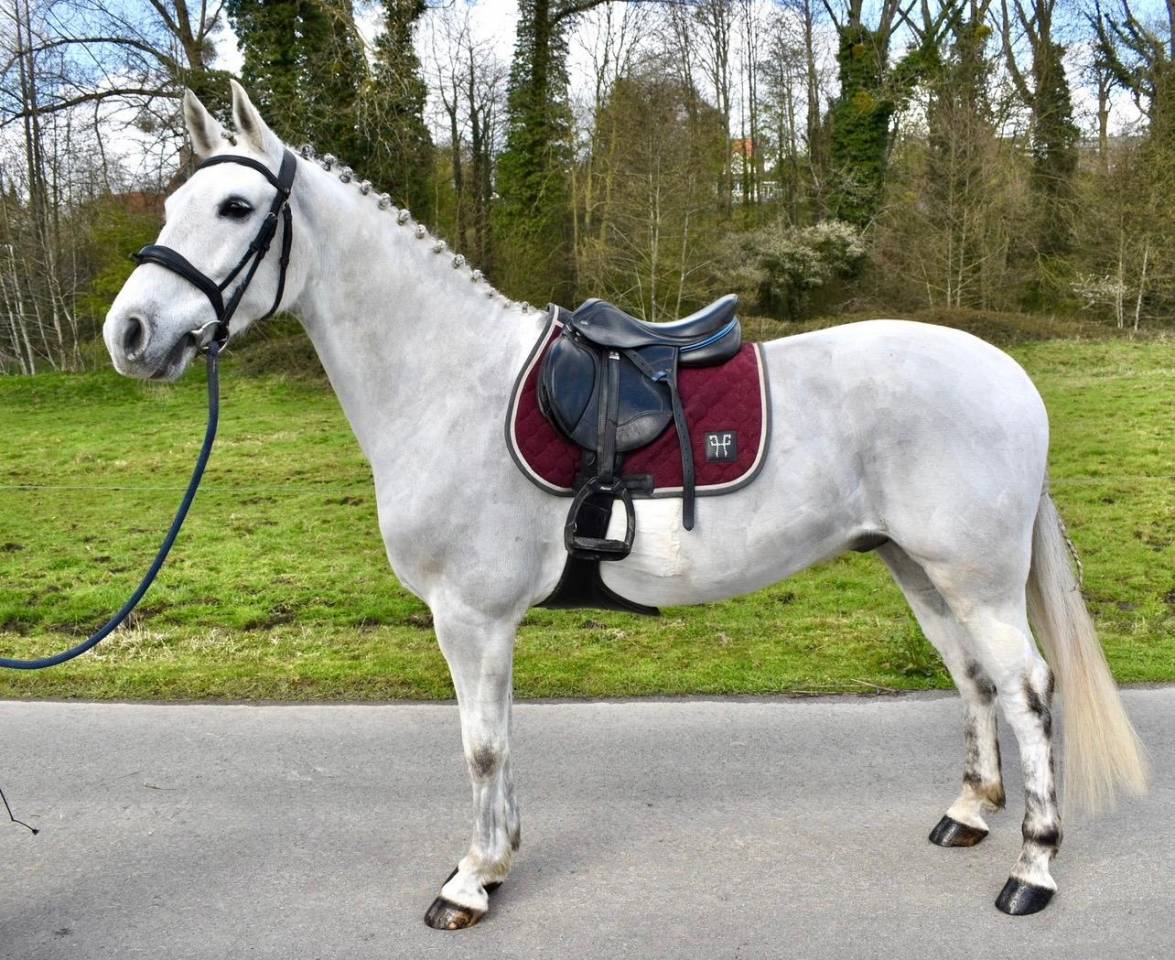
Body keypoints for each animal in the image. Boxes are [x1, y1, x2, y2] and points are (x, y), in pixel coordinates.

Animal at [103, 81, 1148, 928]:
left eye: (236, 205)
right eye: (172, 203)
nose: (130, 333)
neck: (449, 384)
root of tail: (1007, 374)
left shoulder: (469, 617)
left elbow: (480, 747)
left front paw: (470, 882)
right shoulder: (480, 622)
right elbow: (500, 742)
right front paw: (496, 859)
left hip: (976, 579)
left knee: (1026, 689)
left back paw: (1031, 871)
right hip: (917, 569)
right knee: (973, 681)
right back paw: (967, 815)